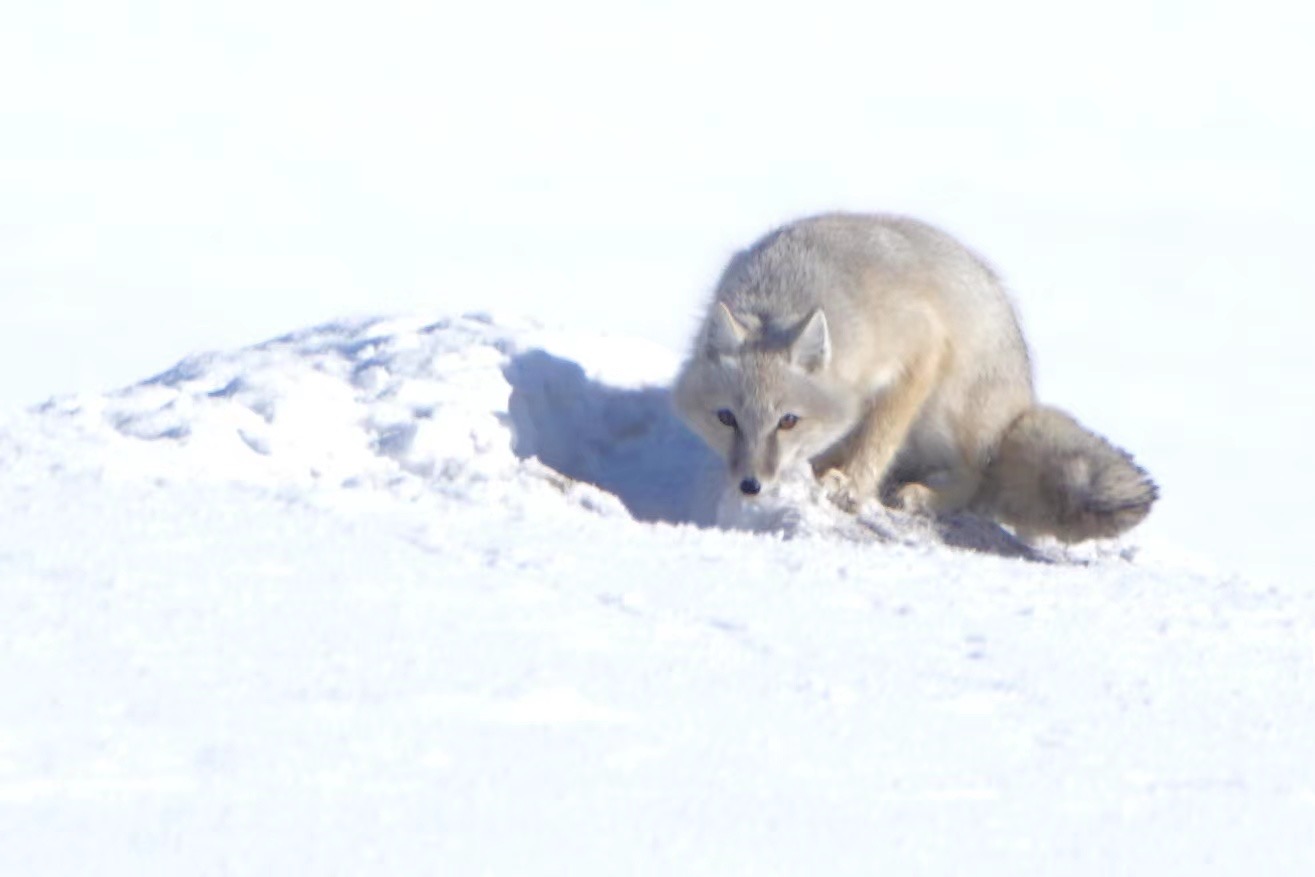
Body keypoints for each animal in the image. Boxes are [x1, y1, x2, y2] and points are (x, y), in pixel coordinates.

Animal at [673, 213, 1157, 541]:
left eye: (787, 421)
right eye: (727, 418)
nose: (751, 485)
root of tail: (1020, 407)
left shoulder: (921, 351)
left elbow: (878, 436)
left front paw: (851, 484)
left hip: (947, 411)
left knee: (977, 480)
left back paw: (923, 495)